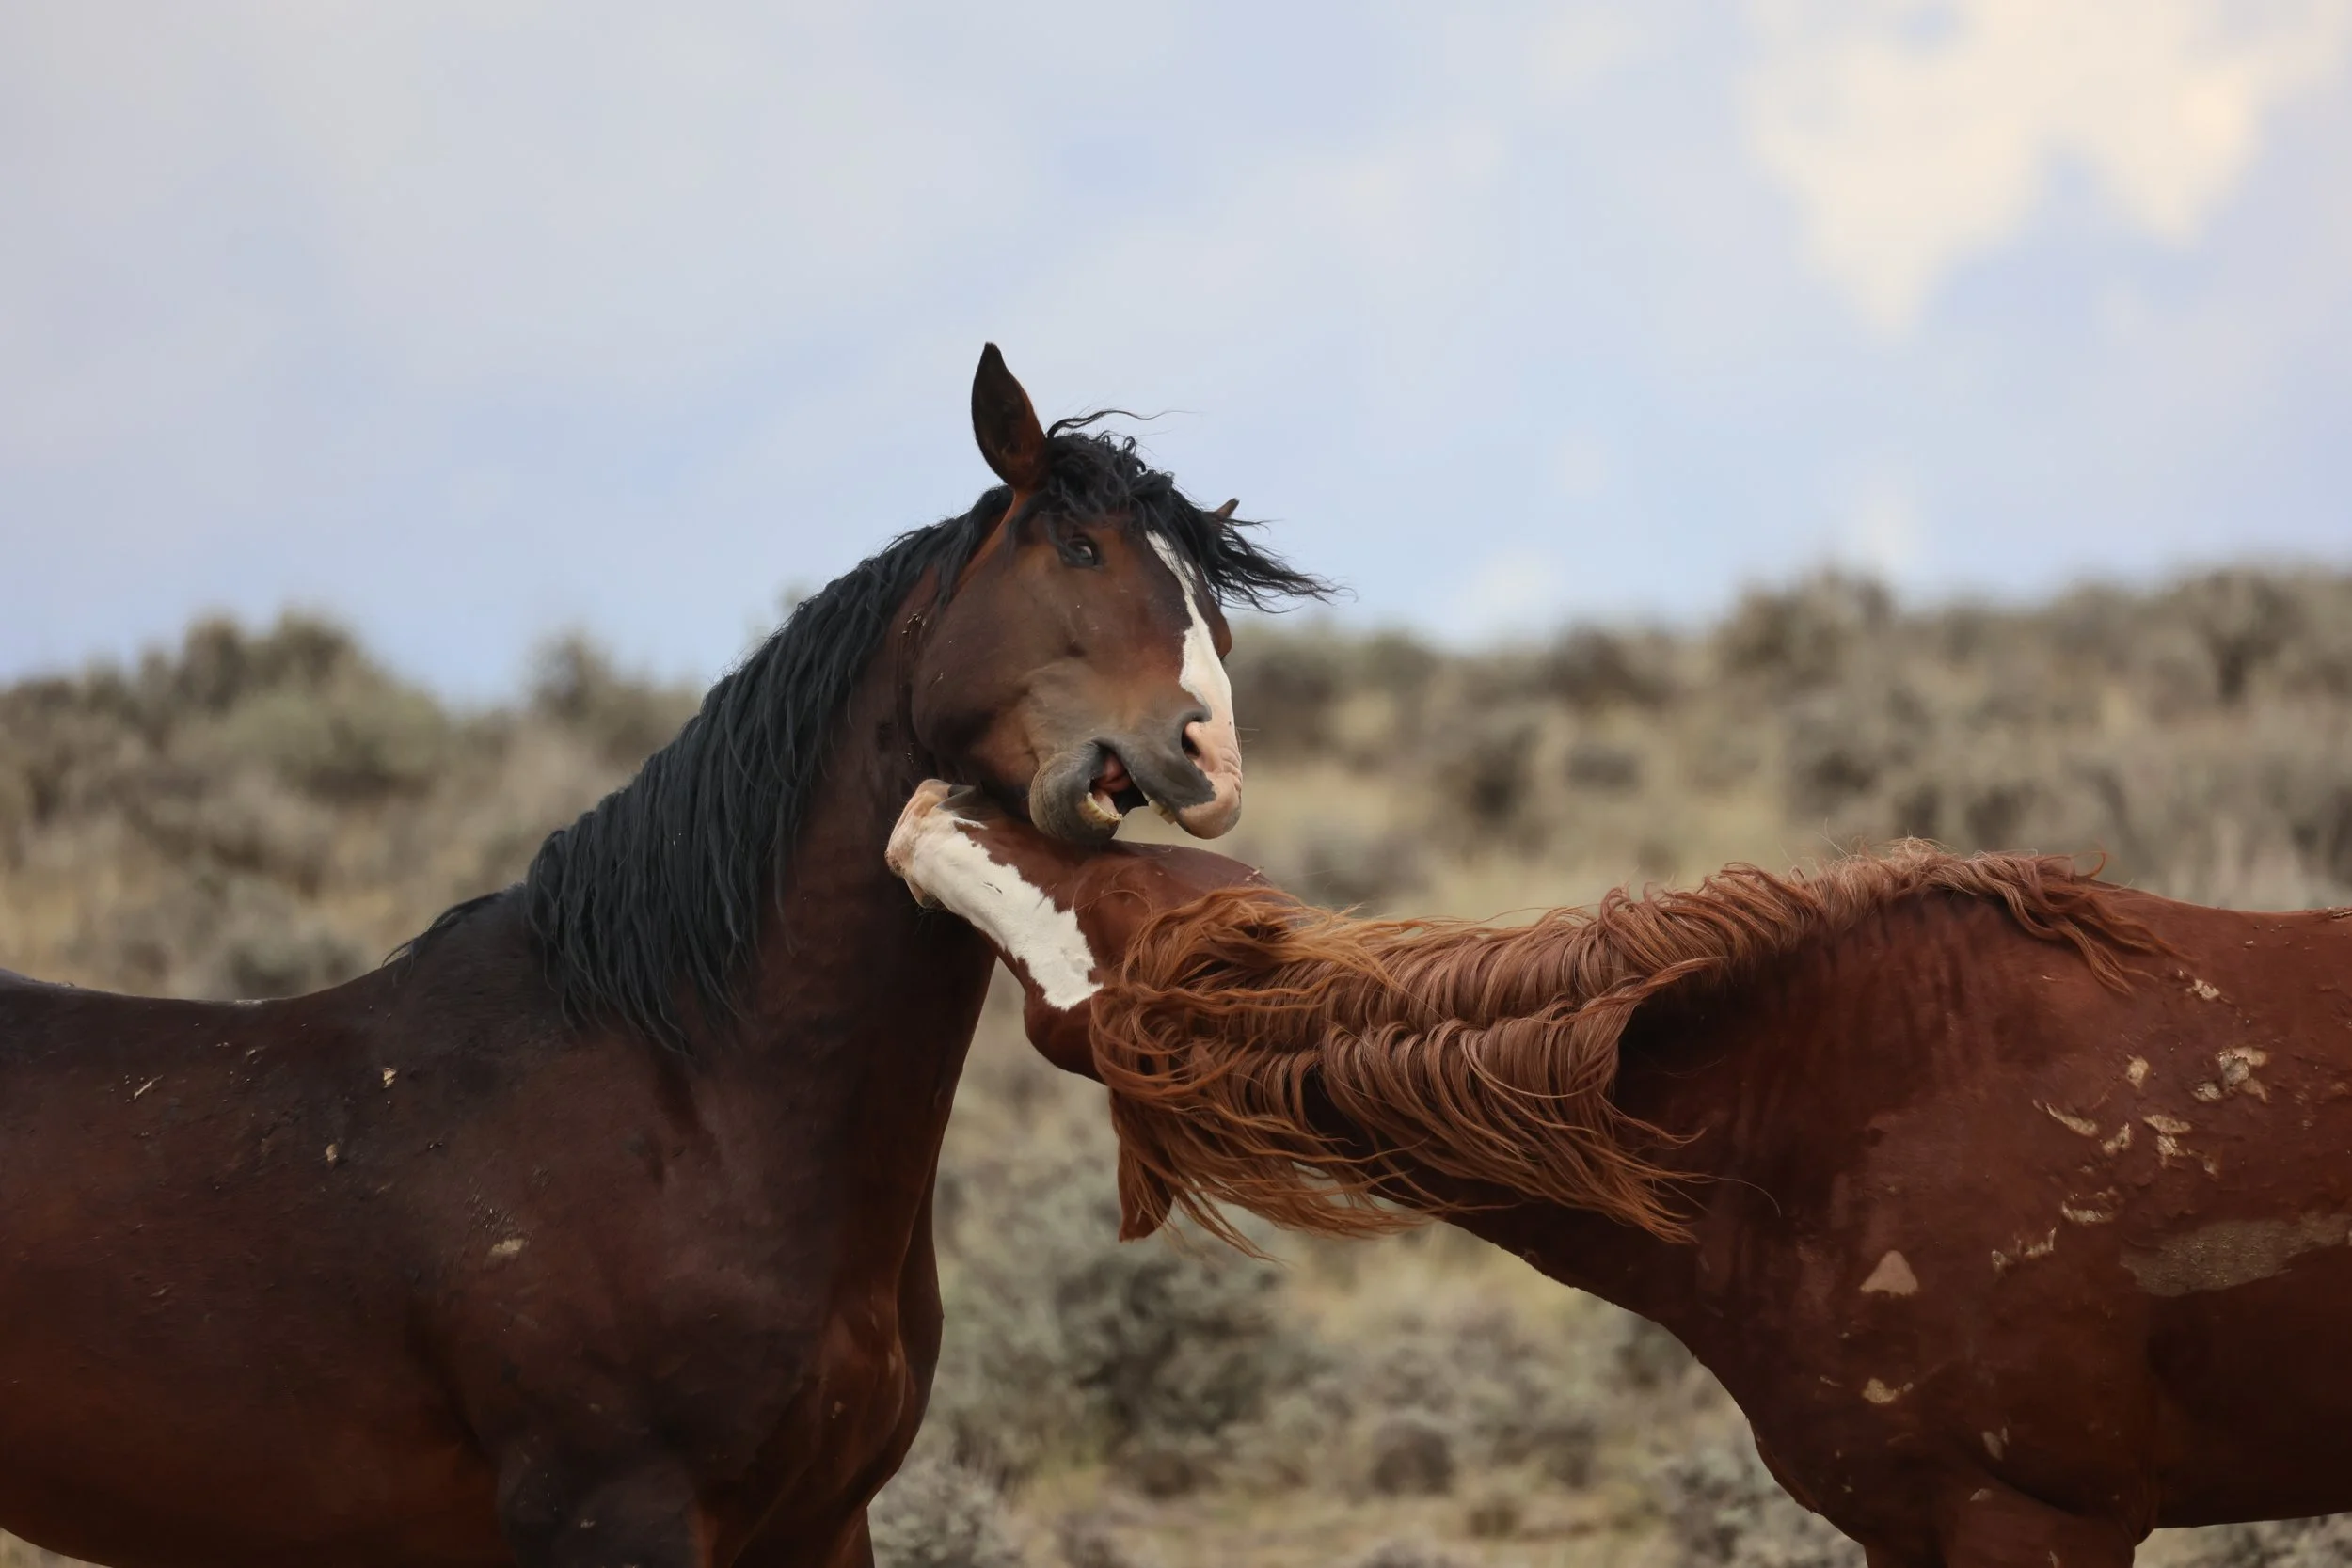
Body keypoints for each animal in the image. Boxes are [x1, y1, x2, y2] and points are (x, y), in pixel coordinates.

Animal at [0, 347, 1324, 1568]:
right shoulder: (613, 1516)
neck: (683, 1097)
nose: (1209, 757)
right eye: (1079, 552)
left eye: (1208, 599)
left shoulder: (822, 1524)